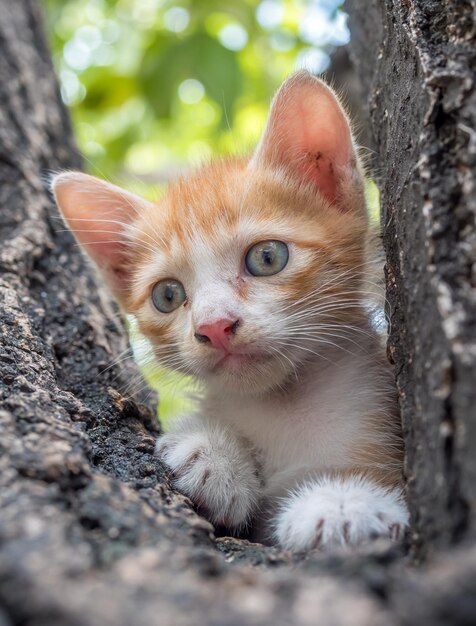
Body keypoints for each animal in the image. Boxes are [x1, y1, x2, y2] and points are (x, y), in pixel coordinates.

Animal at [53, 72, 410, 552]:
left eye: (267, 257)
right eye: (168, 295)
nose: (215, 326)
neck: (286, 407)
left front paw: (346, 505)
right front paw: (210, 452)